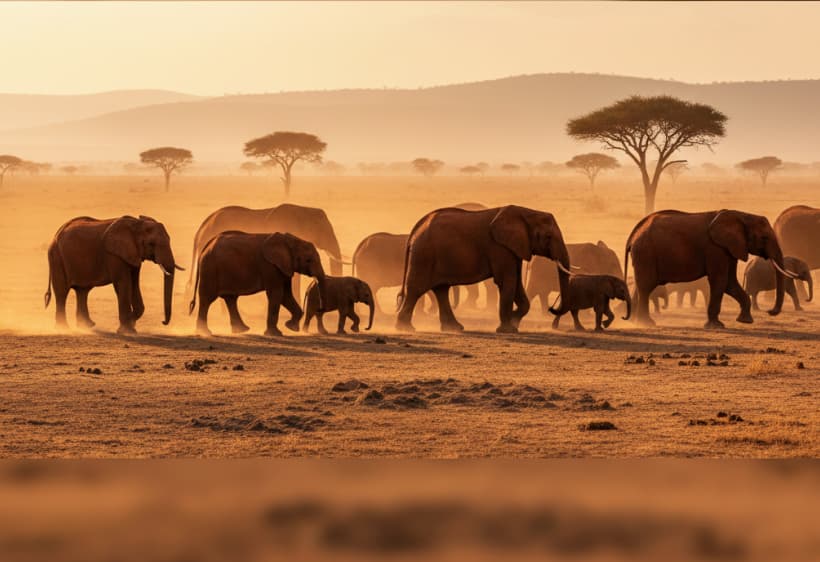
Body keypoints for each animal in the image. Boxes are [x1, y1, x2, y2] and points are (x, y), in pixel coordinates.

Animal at [44, 215, 180, 334]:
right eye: (151, 244)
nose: (163, 322)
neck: (136, 224)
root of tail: (56, 234)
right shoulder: (114, 255)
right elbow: (123, 284)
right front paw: (127, 330)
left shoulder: (133, 254)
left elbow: (134, 284)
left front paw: (130, 325)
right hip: (56, 257)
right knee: (62, 292)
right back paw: (63, 329)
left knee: (82, 291)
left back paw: (86, 326)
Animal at [188, 231, 326, 336]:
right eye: (308, 260)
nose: (320, 308)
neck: (290, 240)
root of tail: (206, 246)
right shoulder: (270, 266)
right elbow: (276, 294)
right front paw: (276, 333)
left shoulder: (284, 267)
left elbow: (286, 295)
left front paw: (291, 327)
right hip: (210, 269)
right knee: (207, 299)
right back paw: (205, 332)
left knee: (230, 299)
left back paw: (241, 330)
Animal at [396, 205, 571, 333]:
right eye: (548, 237)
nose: (552, 308)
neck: (527, 212)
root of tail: (416, 229)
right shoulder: (499, 247)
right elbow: (507, 281)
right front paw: (508, 329)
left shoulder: (514, 248)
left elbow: (516, 282)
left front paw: (514, 321)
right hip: (423, 255)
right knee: (416, 289)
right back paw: (406, 329)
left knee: (441, 290)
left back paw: (454, 328)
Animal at [625, 209, 795, 328]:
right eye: (764, 238)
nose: (770, 311)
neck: (741, 215)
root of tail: (634, 235)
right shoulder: (715, 249)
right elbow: (720, 281)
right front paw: (716, 326)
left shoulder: (730, 249)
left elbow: (730, 283)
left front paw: (745, 321)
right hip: (646, 253)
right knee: (646, 286)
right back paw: (646, 323)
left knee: (641, 286)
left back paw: (634, 322)